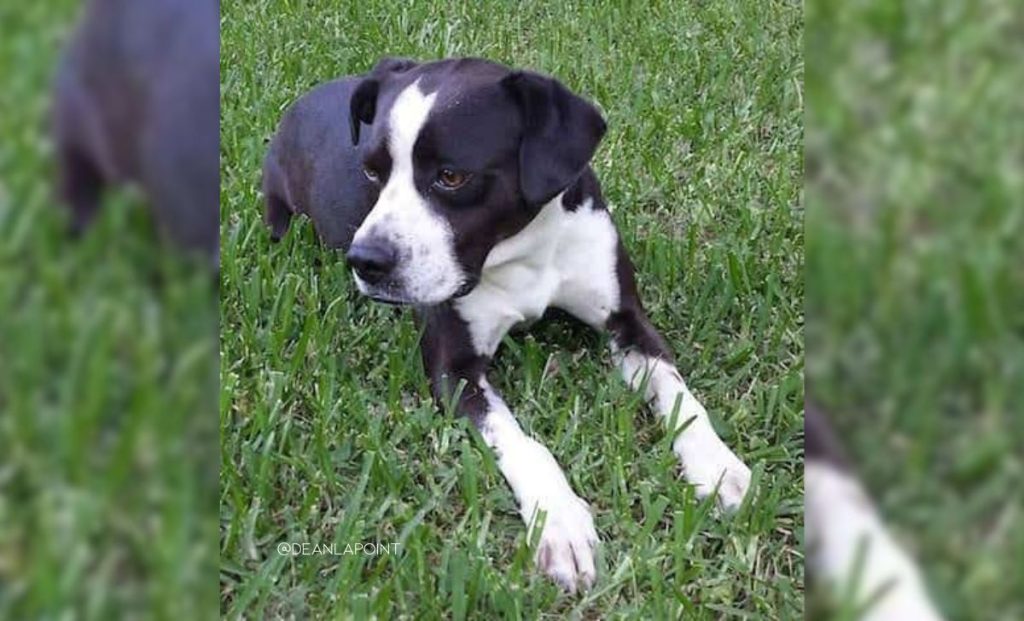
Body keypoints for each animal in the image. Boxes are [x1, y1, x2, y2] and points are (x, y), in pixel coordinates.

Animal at [266, 58, 753, 594]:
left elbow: (678, 392)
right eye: (372, 171)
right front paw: (560, 522)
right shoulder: (454, 369)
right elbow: (522, 442)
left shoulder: (628, 322)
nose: (366, 261)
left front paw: (716, 462)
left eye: (451, 176)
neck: (524, 251)